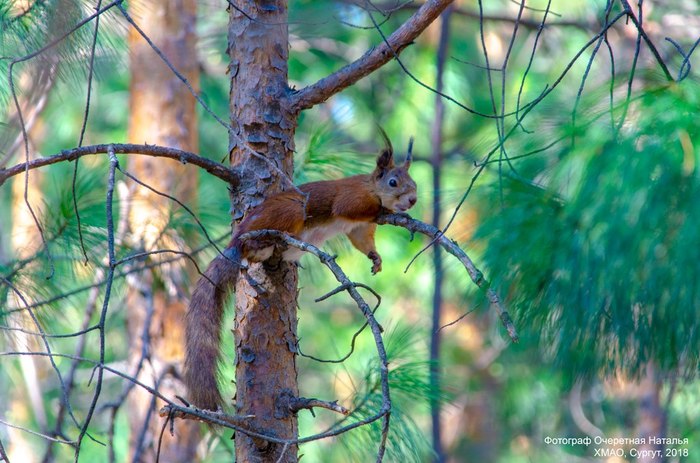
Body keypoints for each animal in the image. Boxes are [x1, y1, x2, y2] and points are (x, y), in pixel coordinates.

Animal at [183, 137, 418, 410]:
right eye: (393, 182)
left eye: (414, 182)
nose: (412, 200)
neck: (370, 187)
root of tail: (237, 240)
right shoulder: (351, 199)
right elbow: (349, 208)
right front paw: (386, 211)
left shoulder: (359, 228)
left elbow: (363, 241)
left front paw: (376, 259)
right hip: (289, 213)